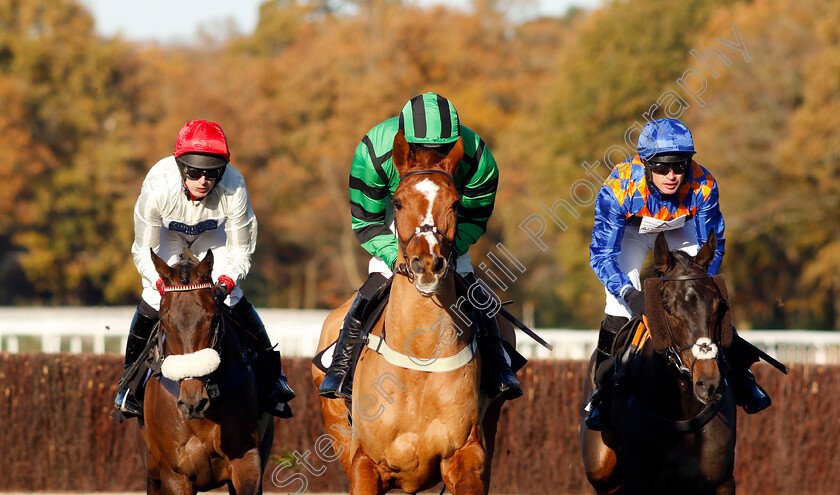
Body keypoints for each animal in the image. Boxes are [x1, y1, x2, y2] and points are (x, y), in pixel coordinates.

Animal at [139, 252, 272, 495]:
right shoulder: (174, 473)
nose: (193, 402)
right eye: (164, 321)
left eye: (213, 319)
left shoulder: (248, 460)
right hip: (153, 474)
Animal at [314, 132, 516, 495]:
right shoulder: (364, 463)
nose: (428, 264)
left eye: (456, 204)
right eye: (397, 203)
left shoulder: (467, 454)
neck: (419, 355)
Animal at [580, 233, 740, 495]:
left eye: (720, 305)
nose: (708, 383)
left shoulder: (721, 481)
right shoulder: (639, 480)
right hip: (600, 471)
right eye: (668, 308)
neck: (678, 413)